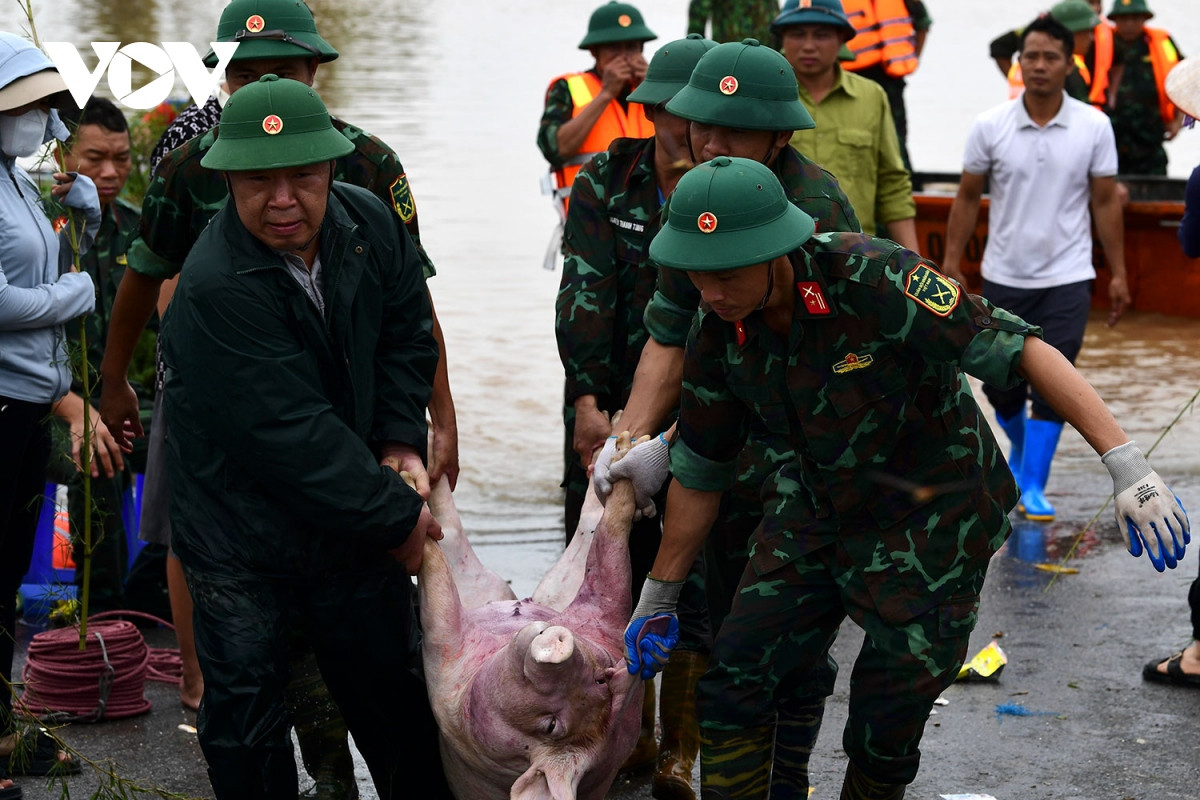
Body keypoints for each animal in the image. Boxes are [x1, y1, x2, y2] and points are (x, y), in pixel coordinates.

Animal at [422, 441, 648, 796]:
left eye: (551, 725)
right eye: (602, 679)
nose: (561, 641)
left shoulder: (446, 680)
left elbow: (436, 583)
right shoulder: (608, 622)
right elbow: (610, 554)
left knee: (450, 537)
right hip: (550, 589)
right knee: (592, 530)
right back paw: (617, 450)